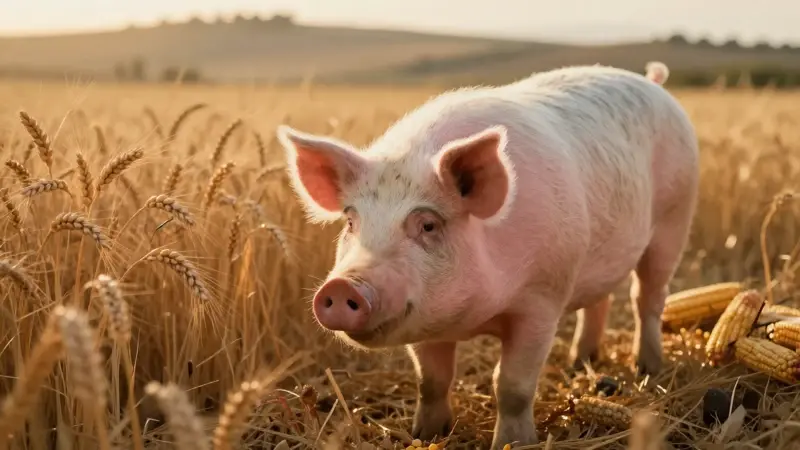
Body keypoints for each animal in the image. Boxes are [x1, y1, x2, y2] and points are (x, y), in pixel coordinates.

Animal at [276, 61, 699, 449]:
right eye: (351, 221)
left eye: (427, 225)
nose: (342, 287)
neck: (474, 319)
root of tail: (651, 81)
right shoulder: (422, 322)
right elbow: (431, 380)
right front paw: (426, 434)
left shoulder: (542, 300)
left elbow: (511, 385)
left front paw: (515, 443)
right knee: (601, 299)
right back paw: (580, 362)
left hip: (674, 219)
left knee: (647, 297)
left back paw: (647, 367)